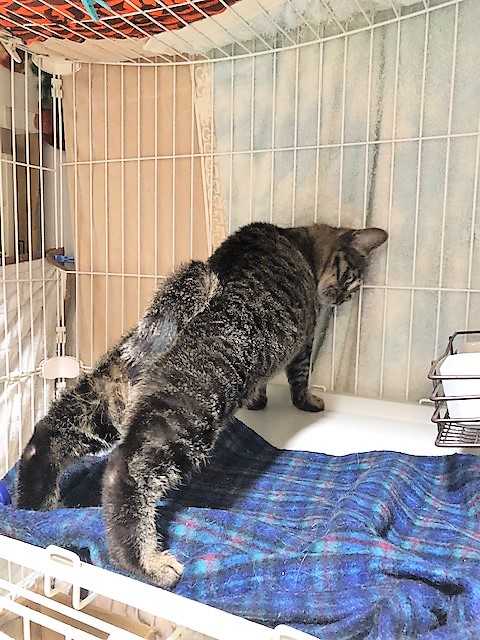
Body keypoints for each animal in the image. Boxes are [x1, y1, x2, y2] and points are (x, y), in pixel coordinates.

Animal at [16, 221, 387, 588]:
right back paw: (145, 563)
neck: (300, 240)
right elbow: (300, 378)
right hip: (185, 420)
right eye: (352, 278)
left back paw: (34, 505)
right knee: (124, 473)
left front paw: (258, 401)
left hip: (104, 401)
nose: (344, 299)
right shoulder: (304, 343)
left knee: (46, 436)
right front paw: (307, 402)